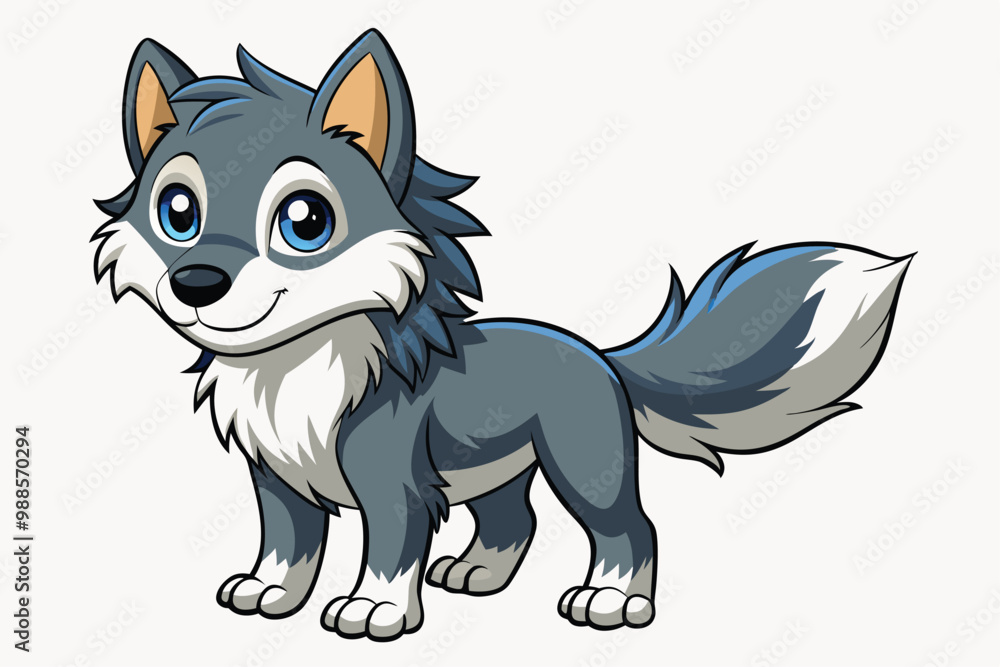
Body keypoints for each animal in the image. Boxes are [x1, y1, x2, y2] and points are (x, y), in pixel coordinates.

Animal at [93, 30, 911, 640]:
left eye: (304, 221)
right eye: (176, 211)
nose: (197, 282)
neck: (294, 369)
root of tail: (597, 353)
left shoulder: (393, 484)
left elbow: (388, 551)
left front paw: (375, 611)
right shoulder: (277, 476)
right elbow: (288, 544)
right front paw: (269, 595)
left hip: (586, 467)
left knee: (630, 526)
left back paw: (613, 601)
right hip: (496, 468)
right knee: (515, 519)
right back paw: (477, 574)